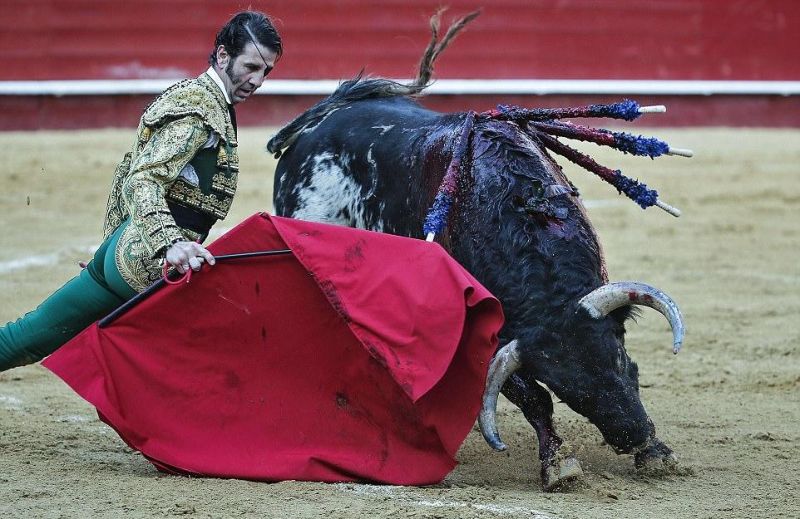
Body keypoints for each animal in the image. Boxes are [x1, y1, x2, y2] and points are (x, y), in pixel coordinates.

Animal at [267, 14, 685, 491]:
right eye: (569, 390)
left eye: (617, 354)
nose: (632, 434)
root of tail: (315, 126)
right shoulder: (493, 341)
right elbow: (532, 398)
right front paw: (558, 463)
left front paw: (656, 453)